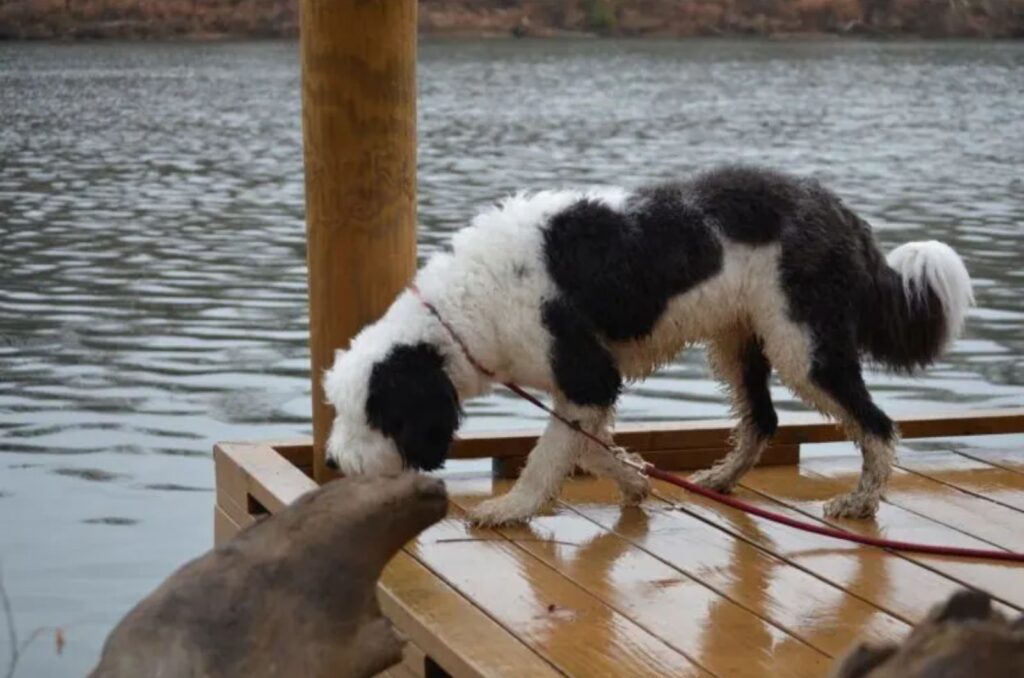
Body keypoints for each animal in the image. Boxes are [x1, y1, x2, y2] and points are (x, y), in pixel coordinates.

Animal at [323, 165, 970, 524]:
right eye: (341, 410)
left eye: (375, 415)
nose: (332, 463)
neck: (465, 308)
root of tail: (843, 214)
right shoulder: (584, 391)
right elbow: (587, 449)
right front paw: (635, 480)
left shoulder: (587, 377)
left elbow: (548, 455)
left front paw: (512, 509)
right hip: (738, 340)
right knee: (762, 420)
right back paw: (721, 479)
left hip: (804, 347)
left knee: (877, 426)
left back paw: (861, 502)